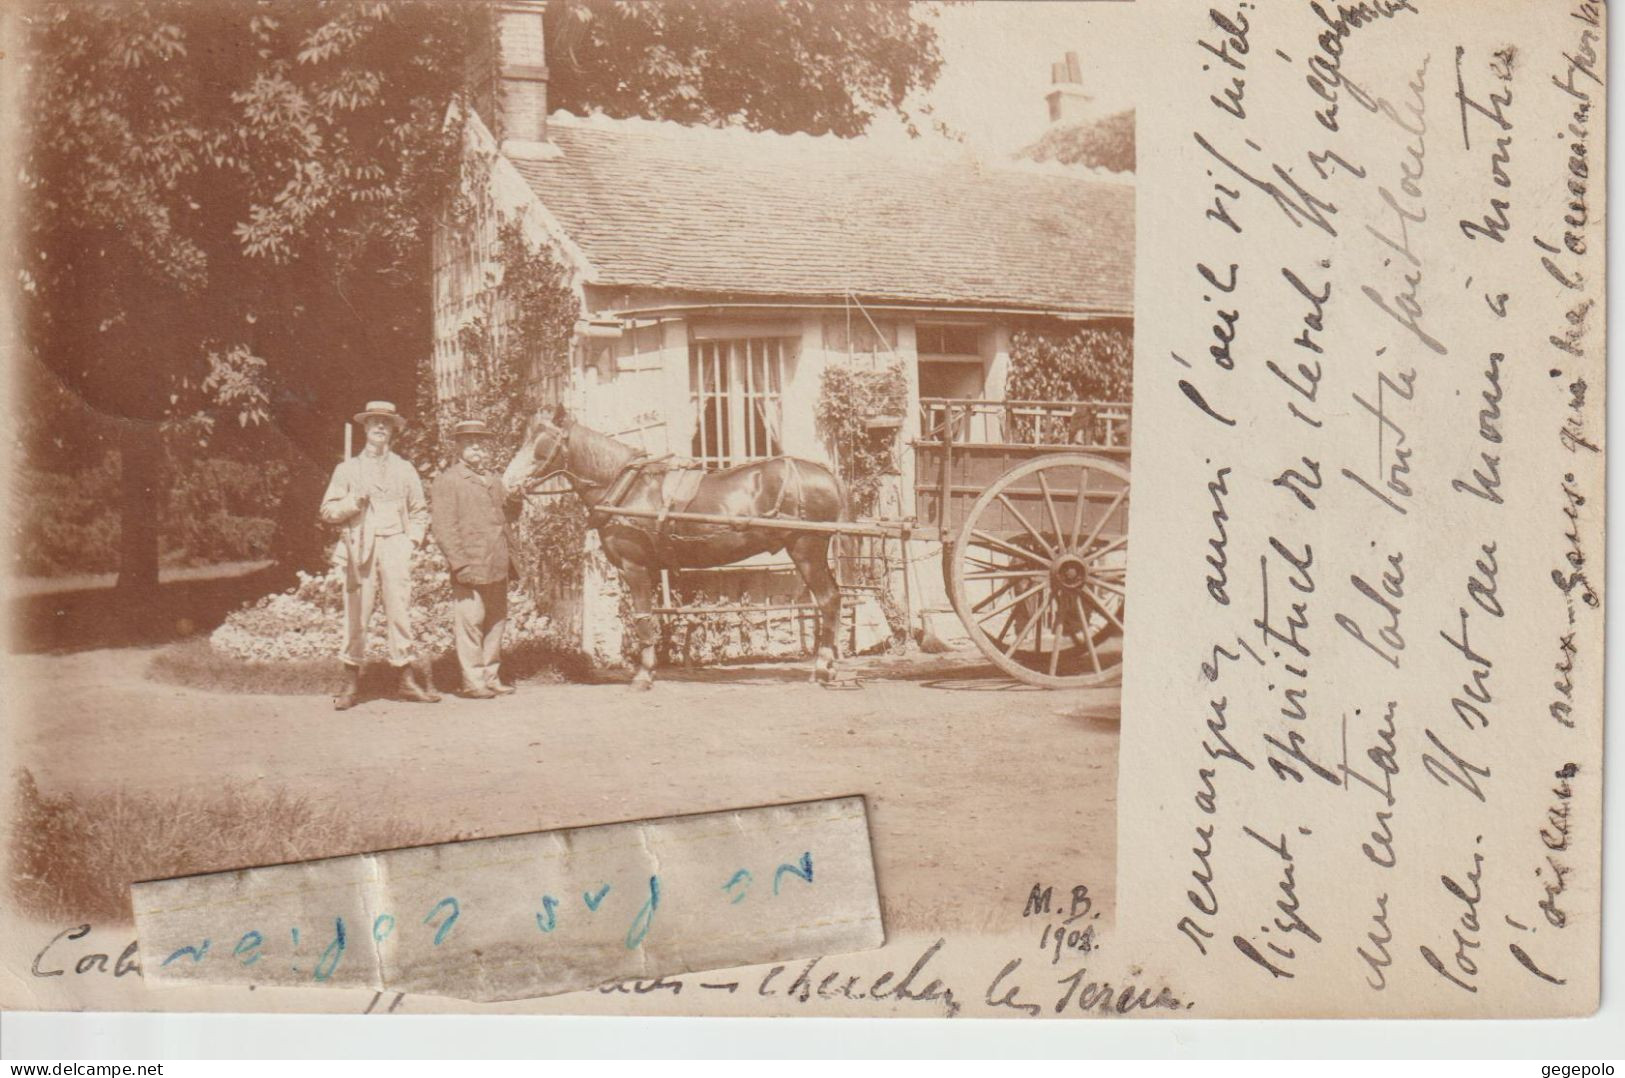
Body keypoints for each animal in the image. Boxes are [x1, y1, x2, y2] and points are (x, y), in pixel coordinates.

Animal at [507, 404, 851, 692]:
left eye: (540, 444)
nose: (507, 482)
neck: (627, 488)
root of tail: (826, 474)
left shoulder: (635, 568)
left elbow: (643, 618)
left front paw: (644, 675)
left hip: (807, 551)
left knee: (828, 600)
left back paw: (823, 667)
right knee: (833, 599)